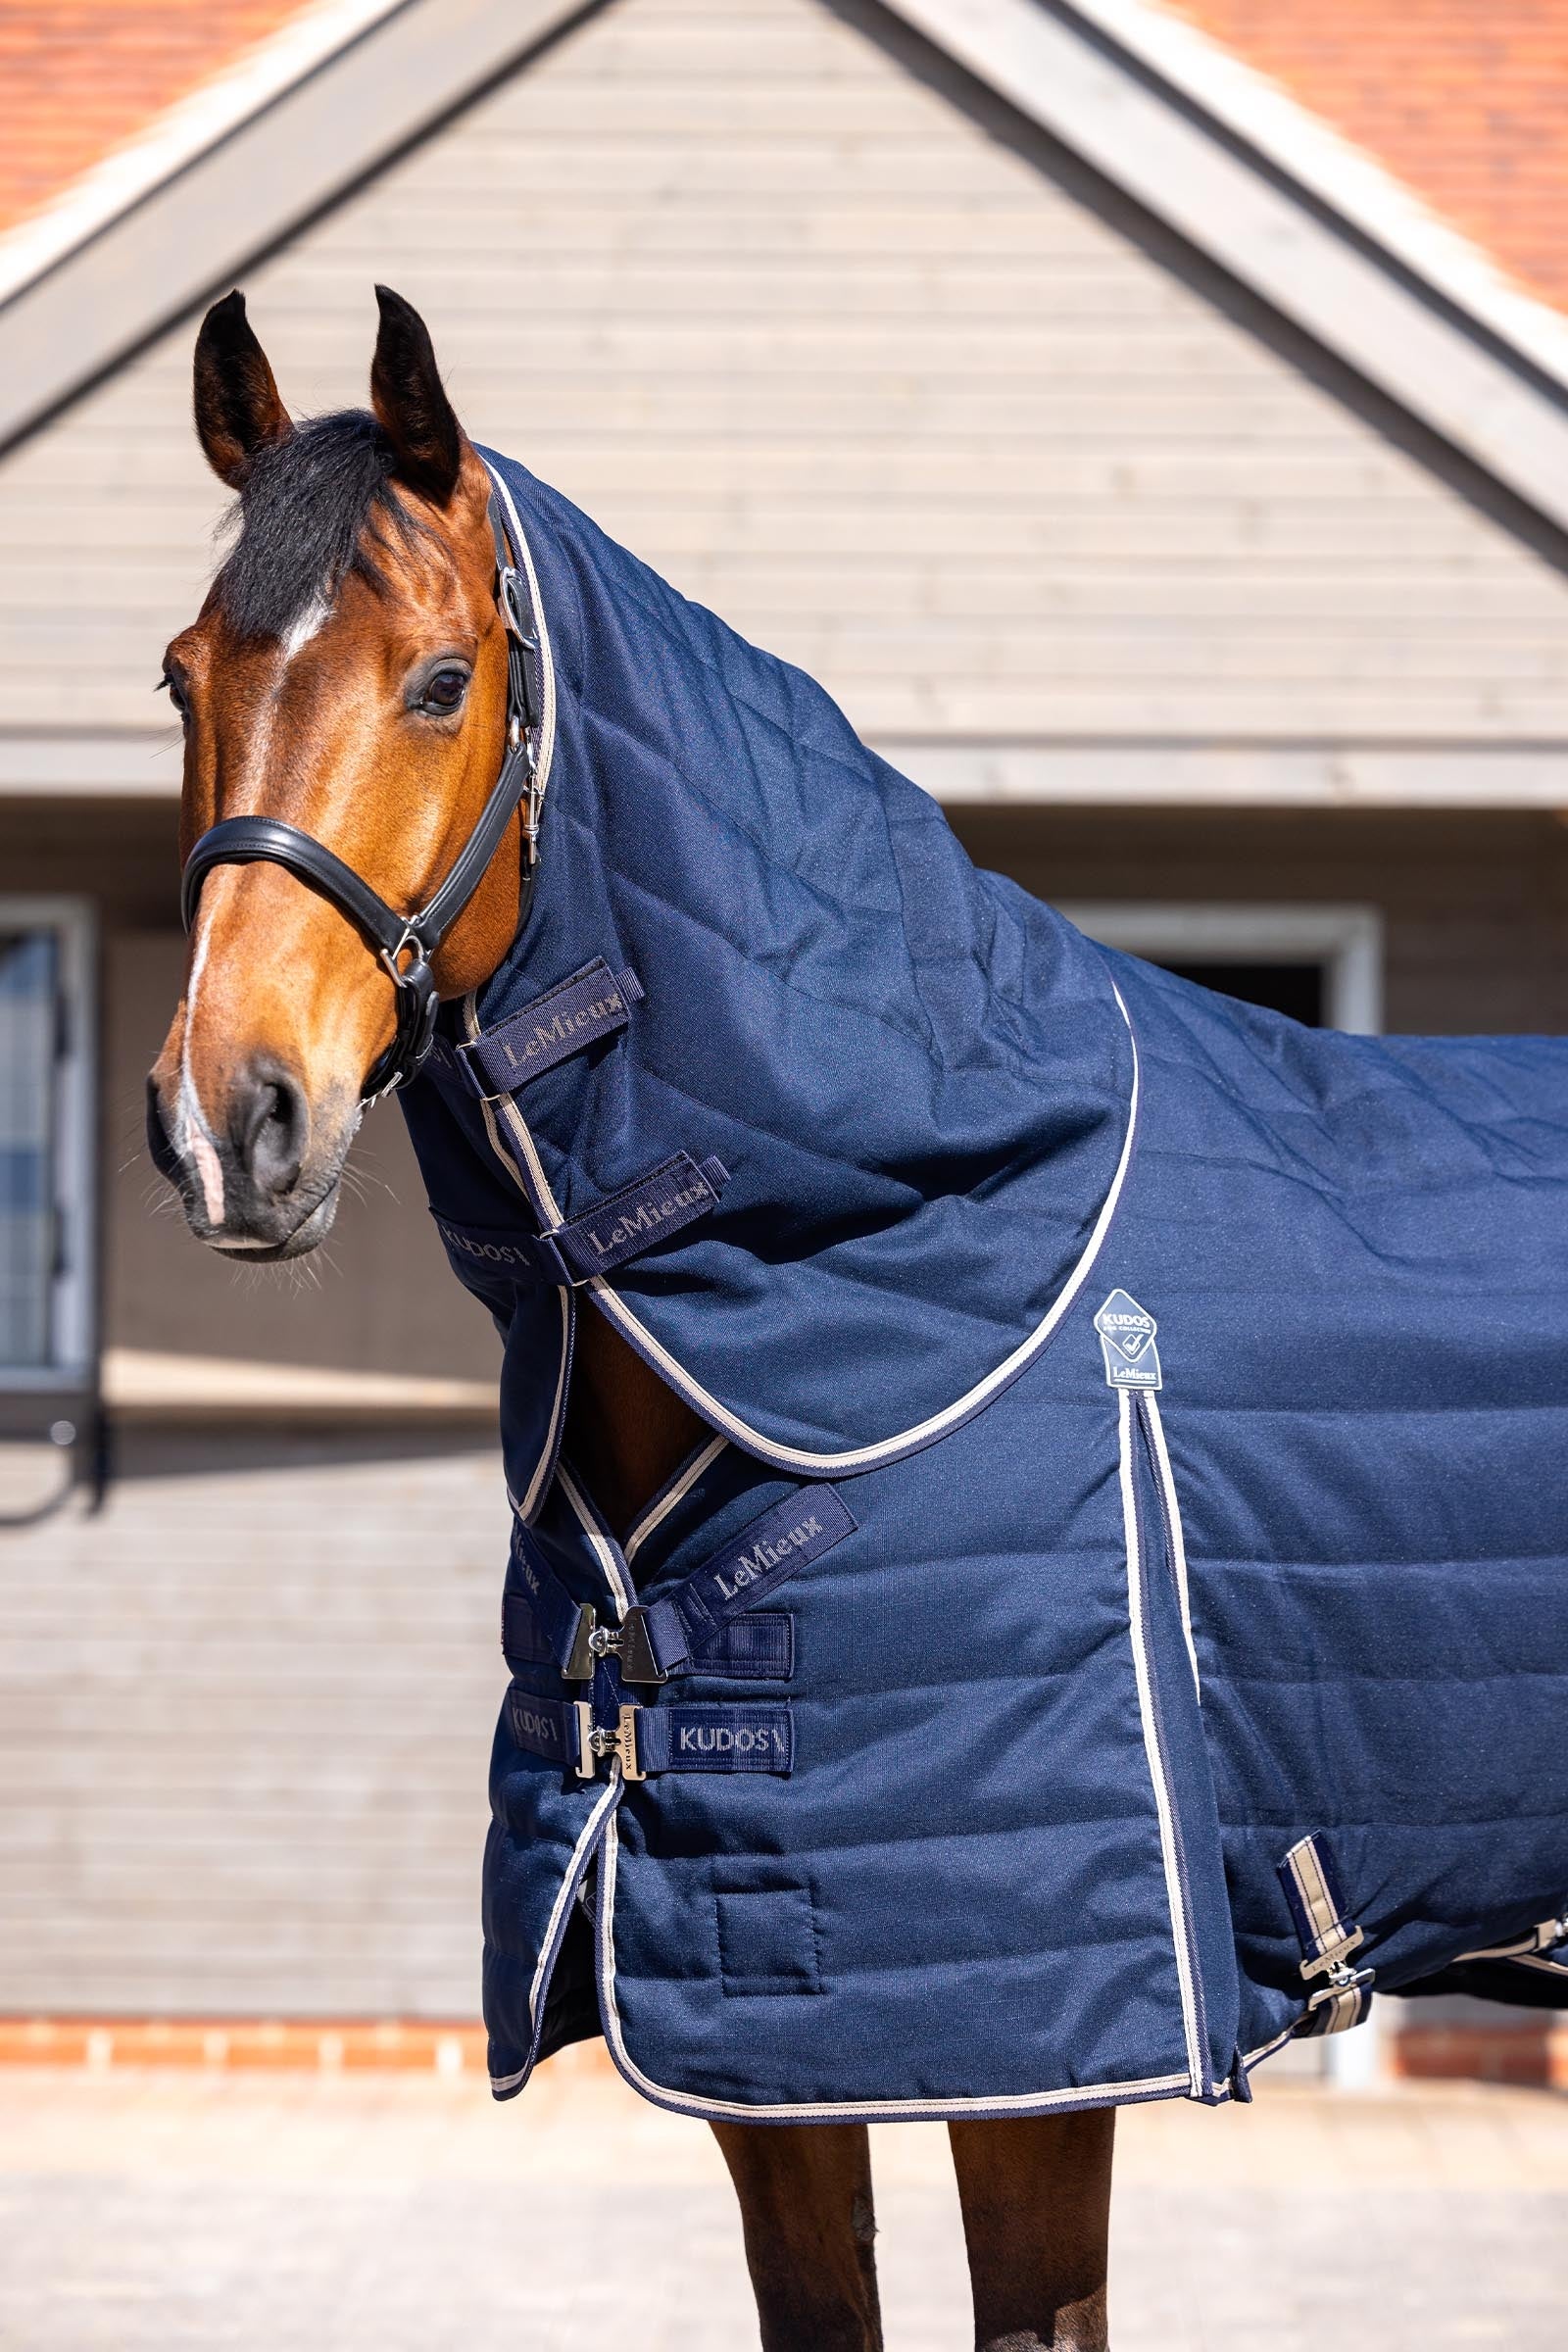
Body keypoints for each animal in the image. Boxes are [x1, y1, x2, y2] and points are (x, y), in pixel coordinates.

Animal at [149, 287, 1568, 2350]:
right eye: (182, 680)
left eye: (439, 682)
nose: (227, 1119)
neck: (923, 1250)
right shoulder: (765, 2059)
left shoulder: (1028, 2057)